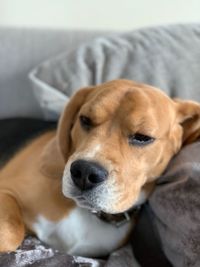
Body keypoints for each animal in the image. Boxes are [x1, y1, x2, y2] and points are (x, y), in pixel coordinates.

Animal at [0, 79, 200, 258]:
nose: (84, 172)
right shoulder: (6, 190)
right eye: (85, 120)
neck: (88, 212)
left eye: (143, 137)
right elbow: (11, 233)